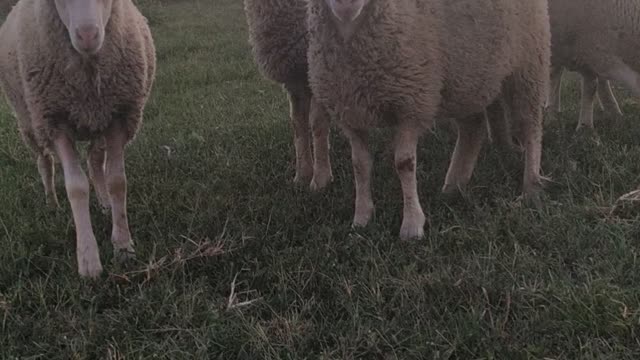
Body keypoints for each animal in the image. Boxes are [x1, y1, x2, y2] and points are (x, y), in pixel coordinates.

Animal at [0, 0, 158, 278]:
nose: (88, 35)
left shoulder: (118, 115)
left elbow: (117, 181)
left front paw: (123, 246)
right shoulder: (56, 121)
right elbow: (76, 187)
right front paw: (88, 260)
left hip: (99, 122)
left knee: (95, 163)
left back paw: (104, 204)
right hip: (30, 121)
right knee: (44, 163)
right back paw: (52, 203)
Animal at [242, 0, 332, 191]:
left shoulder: (321, 70)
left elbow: (318, 125)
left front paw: (321, 179)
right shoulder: (295, 77)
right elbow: (298, 124)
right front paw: (302, 175)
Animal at [304, 0, 552, 239]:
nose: (346, 4)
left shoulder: (412, 103)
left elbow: (404, 163)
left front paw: (412, 225)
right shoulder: (350, 112)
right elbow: (360, 164)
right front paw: (362, 217)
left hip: (529, 62)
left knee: (531, 128)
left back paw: (530, 189)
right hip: (468, 77)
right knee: (473, 128)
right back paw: (454, 186)